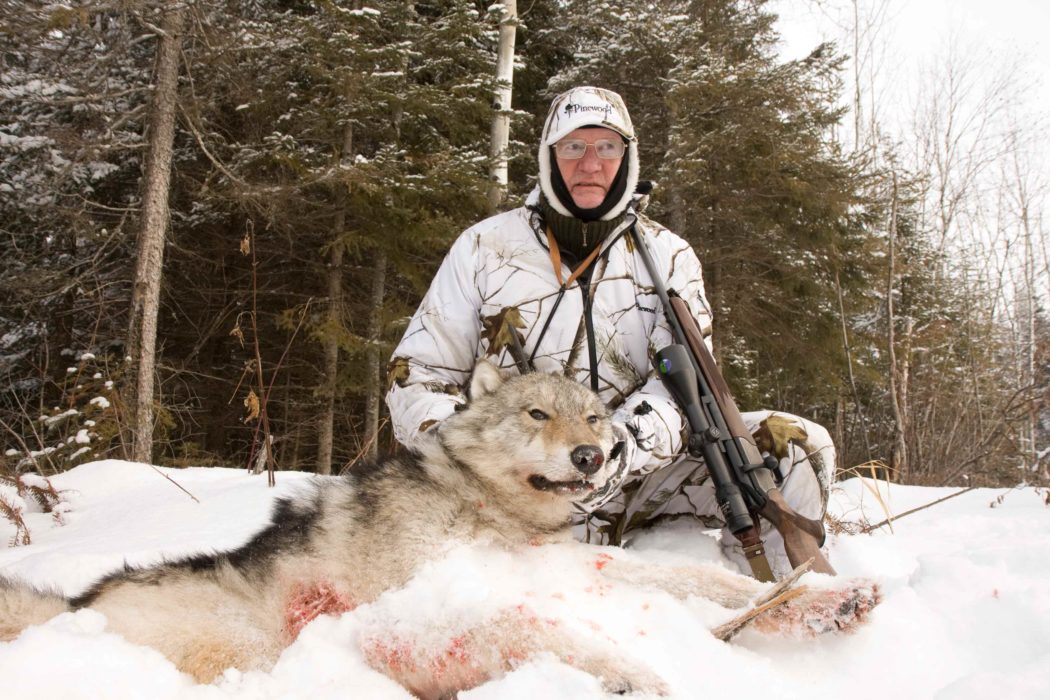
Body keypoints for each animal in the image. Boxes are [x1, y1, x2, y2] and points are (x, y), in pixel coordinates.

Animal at [1, 361, 878, 698]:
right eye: (537, 415)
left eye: (595, 417)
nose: (593, 456)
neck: (482, 508)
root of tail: (70, 608)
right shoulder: (402, 613)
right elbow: (530, 626)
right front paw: (631, 673)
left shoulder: (566, 569)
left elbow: (707, 579)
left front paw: (816, 599)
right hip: (239, 644)